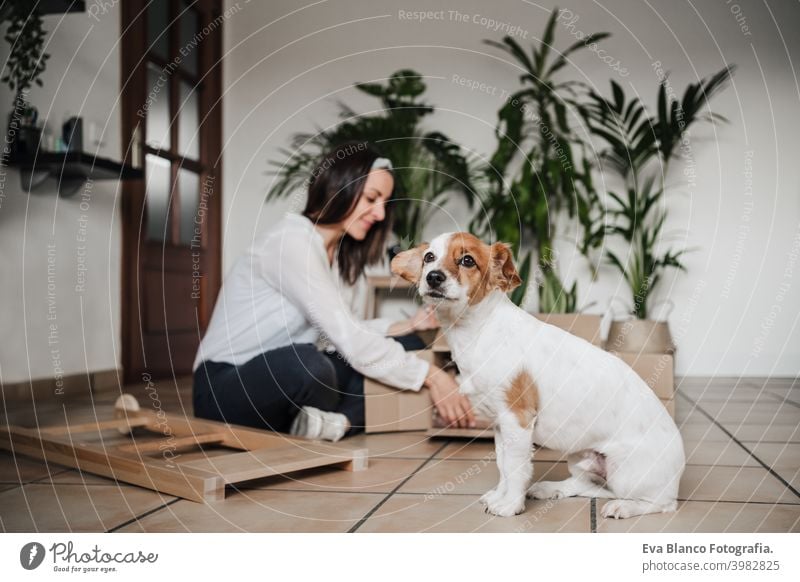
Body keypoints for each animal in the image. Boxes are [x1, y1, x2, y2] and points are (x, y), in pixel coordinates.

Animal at [390, 233, 684, 520]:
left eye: (467, 260)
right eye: (429, 257)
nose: (433, 277)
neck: (479, 330)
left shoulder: (517, 421)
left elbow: (515, 467)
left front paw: (510, 505)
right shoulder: (500, 425)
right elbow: (503, 465)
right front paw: (500, 496)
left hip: (626, 473)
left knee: (660, 503)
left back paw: (625, 507)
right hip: (579, 456)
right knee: (590, 485)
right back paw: (551, 489)